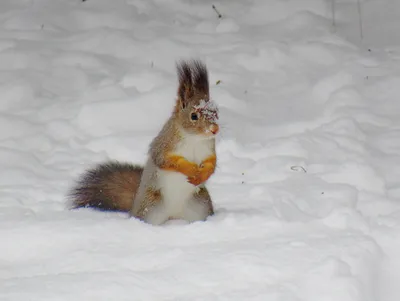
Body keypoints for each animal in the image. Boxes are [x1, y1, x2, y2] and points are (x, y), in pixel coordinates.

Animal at [69, 58, 219, 224]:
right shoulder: (163, 146)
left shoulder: (209, 149)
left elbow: (211, 164)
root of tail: (173, 215)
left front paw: (203, 174)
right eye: (194, 116)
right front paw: (190, 169)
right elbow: (167, 160)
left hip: (200, 205)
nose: (214, 129)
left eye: (216, 112)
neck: (194, 139)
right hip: (150, 208)